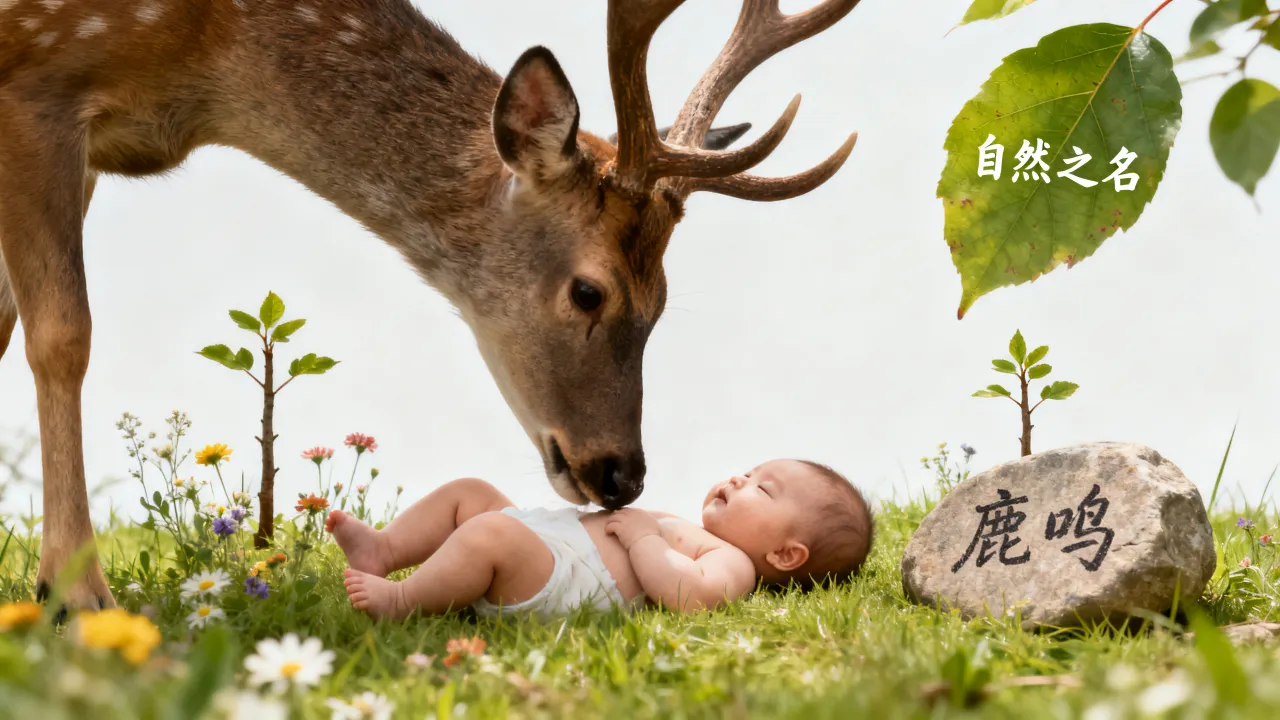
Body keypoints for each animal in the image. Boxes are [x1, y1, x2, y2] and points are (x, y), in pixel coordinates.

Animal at [0, 0, 859, 612]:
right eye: (590, 289)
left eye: (665, 299)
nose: (621, 475)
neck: (202, 64)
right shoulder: (39, 87)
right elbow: (61, 333)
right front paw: (73, 592)